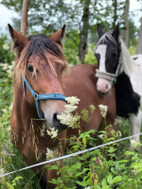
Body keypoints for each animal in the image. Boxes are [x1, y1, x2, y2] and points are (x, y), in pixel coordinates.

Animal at [8, 24, 116, 188]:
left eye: (60, 67)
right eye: (30, 68)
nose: (61, 117)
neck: (29, 127)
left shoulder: (56, 158)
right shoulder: (32, 162)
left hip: (108, 130)